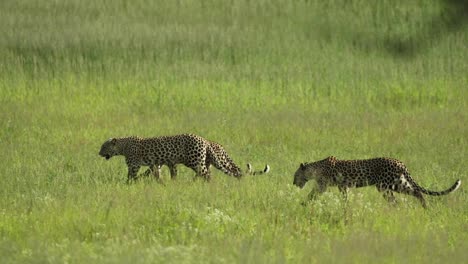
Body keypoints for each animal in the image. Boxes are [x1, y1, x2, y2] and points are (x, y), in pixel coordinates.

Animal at [98, 133, 270, 183]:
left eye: (103, 147)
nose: (99, 153)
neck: (122, 146)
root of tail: (205, 140)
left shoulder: (133, 165)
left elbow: (131, 176)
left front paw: (128, 184)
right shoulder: (156, 164)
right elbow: (157, 174)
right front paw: (162, 183)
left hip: (196, 161)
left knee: (207, 175)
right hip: (204, 162)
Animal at [292, 155, 460, 208]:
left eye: (295, 175)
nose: (293, 183)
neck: (314, 168)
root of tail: (400, 162)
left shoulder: (323, 186)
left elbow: (312, 194)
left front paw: (303, 204)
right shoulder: (342, 187)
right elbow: (345, 198)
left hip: (384, 186)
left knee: (397, 199)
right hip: (398, 183)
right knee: (417, 192)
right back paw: (425, 208)